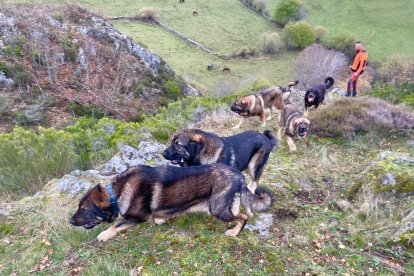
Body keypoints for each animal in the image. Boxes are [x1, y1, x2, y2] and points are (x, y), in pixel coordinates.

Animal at [69, 164, 274, 242]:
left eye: (84, 209)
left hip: (217, 210)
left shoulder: (137, 217)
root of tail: (238, 174)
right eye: (79, 207)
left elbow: (116, 225)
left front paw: (104, 235)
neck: (116, 193)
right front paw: (161, 219)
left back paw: (234, 232)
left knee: (243, 217)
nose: (70, 221)